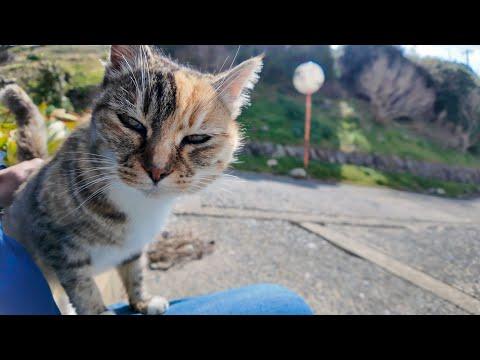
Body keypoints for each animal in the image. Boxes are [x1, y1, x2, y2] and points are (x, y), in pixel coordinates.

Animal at [0, 45, 262, 316]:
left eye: (197, 138)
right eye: (132, 123)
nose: (157, 170)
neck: (137, 204)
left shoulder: (135, 247)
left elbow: (135, 271)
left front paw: (142, 300)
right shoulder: (56, 241)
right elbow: (82, 285)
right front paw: (98, 311)